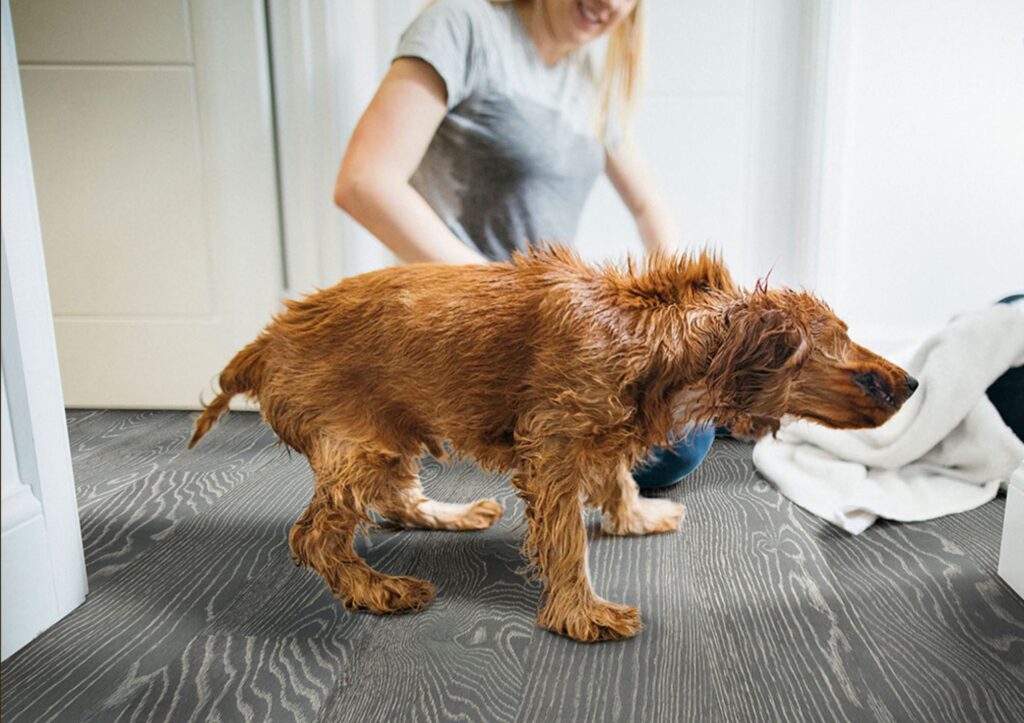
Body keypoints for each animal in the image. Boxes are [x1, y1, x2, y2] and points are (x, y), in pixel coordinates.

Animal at [188, 244, 917, 639]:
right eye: (843, 340)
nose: (912, 382)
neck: (652, 332)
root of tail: (262, 343)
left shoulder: (597, 434)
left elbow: (618, 479)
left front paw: (636, 517)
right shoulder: (555, 450)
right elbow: (567, 541)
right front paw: (581, 612)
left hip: (391, 431)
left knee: (394, 500)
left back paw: (455, 515)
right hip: (359, 440)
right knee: (315, 536)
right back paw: (376, 588)